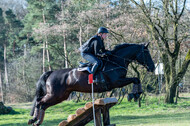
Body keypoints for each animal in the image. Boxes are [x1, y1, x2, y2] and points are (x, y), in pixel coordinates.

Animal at [28, 42, 156, 125]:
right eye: (146, 53)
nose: (153, 67)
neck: (115, 61)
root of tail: (51, 72)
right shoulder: (116, 82)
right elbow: (135, 79)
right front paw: (133, 95)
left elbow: (137, 79)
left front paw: (136, 94)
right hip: (55, 94)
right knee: (39, 101)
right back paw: (33, 120)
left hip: (60, 96)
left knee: (44, 105)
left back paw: (38, 121)